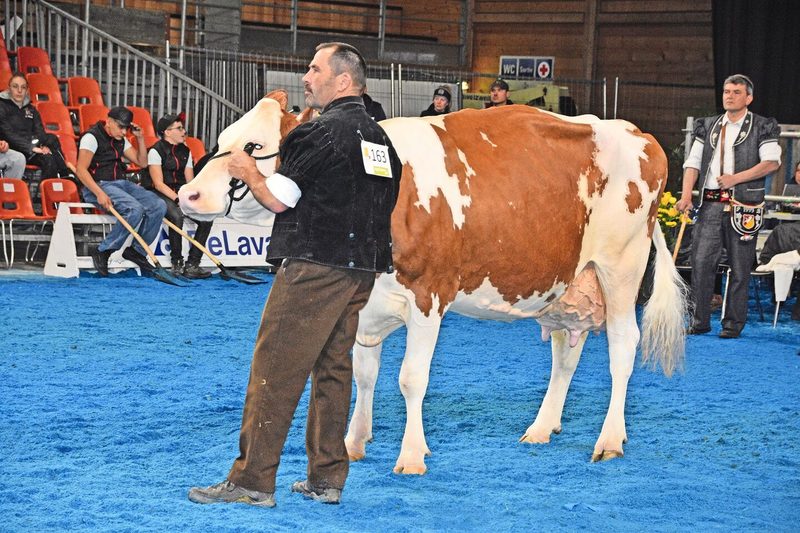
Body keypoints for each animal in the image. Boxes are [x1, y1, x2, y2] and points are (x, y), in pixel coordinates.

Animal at [179, 90, 687, 474]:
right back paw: (542, 429)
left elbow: (411, 378)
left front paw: (410, 456)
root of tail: (638, 133)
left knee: (623, 346)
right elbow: (365, 374)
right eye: (222, 139)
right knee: (566, 354)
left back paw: (610, 439)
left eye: (253, 146)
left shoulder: (428, 296)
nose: (187, 193)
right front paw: (354, 442)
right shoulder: (367, 301)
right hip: (566, 284)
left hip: (621, 266)